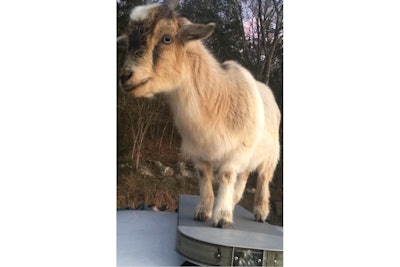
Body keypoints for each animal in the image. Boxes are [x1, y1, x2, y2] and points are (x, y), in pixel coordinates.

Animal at [118, 0, 282, 228]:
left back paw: (260, 212)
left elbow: (226, 176)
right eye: (128, 41)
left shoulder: (235, 152)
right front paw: (203, 212)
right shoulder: (200, 153)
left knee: (263, 179)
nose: (125, 76)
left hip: (271, 154)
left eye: (167, 38)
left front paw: (221, 217)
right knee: (244, 176)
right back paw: (234, 201)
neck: (216, 99)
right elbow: (205, 179)